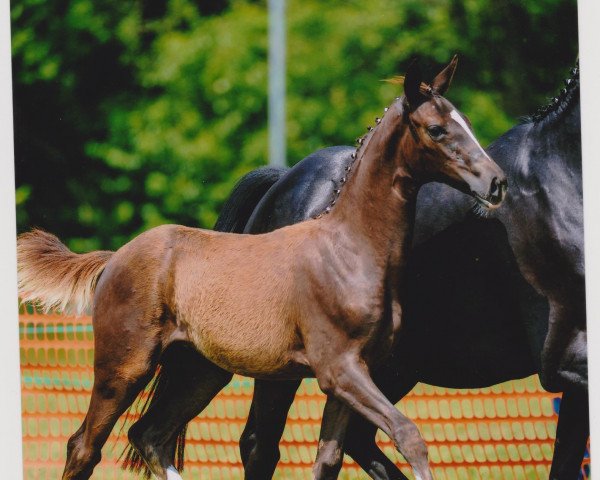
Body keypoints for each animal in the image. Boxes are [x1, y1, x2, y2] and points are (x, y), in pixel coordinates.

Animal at [16, 58, 506, 480]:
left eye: (464, 121)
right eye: (437, 129)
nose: (496, 182)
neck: (350, 252)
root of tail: (115, 257)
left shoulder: (351, 375)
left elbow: (328, 459)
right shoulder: (339, 369)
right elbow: (409, 434)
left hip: (202, 371)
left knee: (149, 435)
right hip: (124, 367)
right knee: (84, 445)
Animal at [209, 64, 584, 480]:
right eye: (436, 129)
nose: (494, 183)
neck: (563, 176)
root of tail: (281, 182)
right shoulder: (565, 360)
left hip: (391, 368)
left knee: (353, 440)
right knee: (262, 446)